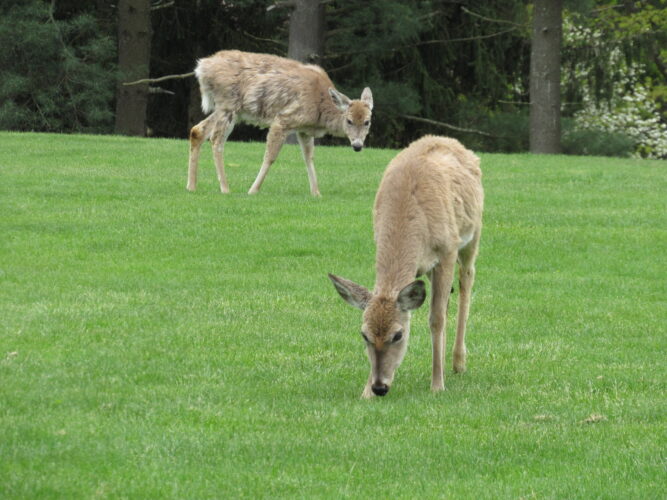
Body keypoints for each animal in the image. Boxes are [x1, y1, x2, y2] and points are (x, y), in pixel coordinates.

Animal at [187, 50, 373, 196]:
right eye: (349, 120)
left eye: (367, 121)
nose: (357, 145)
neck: (319, 108)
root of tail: (201, 67)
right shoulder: (284, 120)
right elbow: (270, 156)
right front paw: (253, 190)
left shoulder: (304, 130)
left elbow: (308, 157)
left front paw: (316, 193)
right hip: (228, 105)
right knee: (216, 140)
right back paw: (225, 188)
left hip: (226, 109)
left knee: (197, 130)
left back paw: (191, 186)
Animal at [329, 135, 484, 398]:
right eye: (364, 334)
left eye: (398, 335)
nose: (380, 387)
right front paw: (365, 393)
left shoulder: (447, 249)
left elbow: (436, 319)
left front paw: (437, 385)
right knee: (447, 298)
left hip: (473, 235)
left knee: (466, 280)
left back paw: (458, 363)